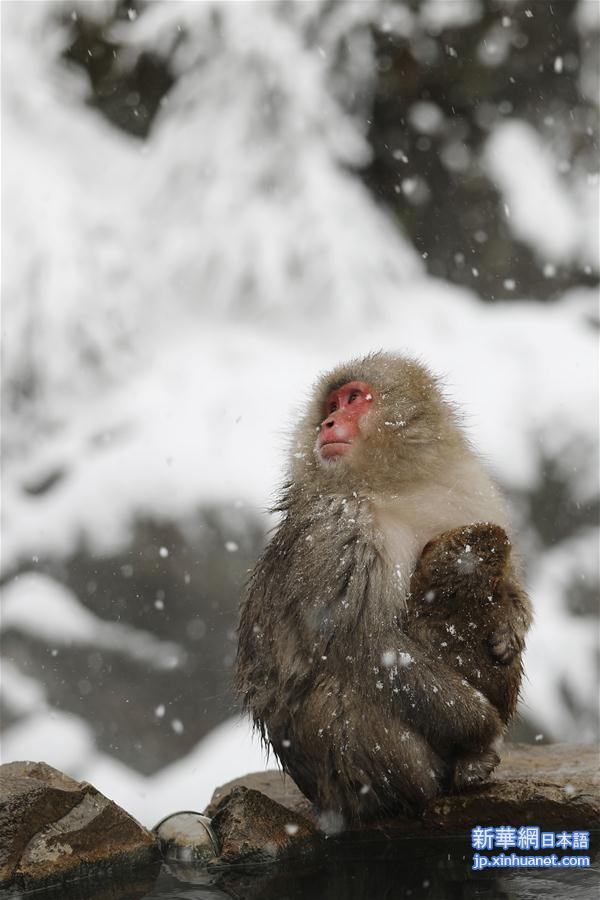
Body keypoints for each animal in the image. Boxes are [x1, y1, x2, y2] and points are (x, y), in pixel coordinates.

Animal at [234, 352, 528, 824]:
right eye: (331, 404)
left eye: (353, 398)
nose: (327, 422)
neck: (394, 485)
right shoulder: (340, 529)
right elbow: (369, 644)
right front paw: (483, 726)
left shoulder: (473, 493)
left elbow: (507, 578)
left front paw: (513, 627)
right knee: (346, 691)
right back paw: (445, 776)